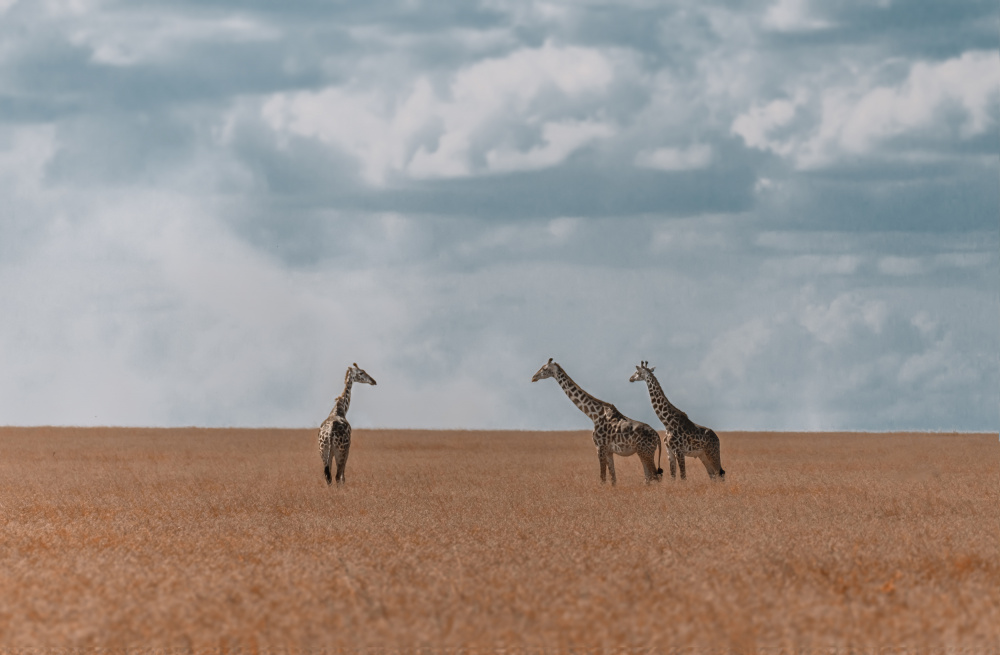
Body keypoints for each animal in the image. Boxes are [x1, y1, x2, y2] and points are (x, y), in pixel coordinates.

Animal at [532, 356, 664, 484]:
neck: (594, 415)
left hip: (646, 452)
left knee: (655, 477)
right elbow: (613, 479)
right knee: (649, 477)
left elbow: (602, 478)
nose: (534, 377)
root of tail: (657, 437)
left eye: (544, 369)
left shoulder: (600, 447)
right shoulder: (609, 451)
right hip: (642, 453)